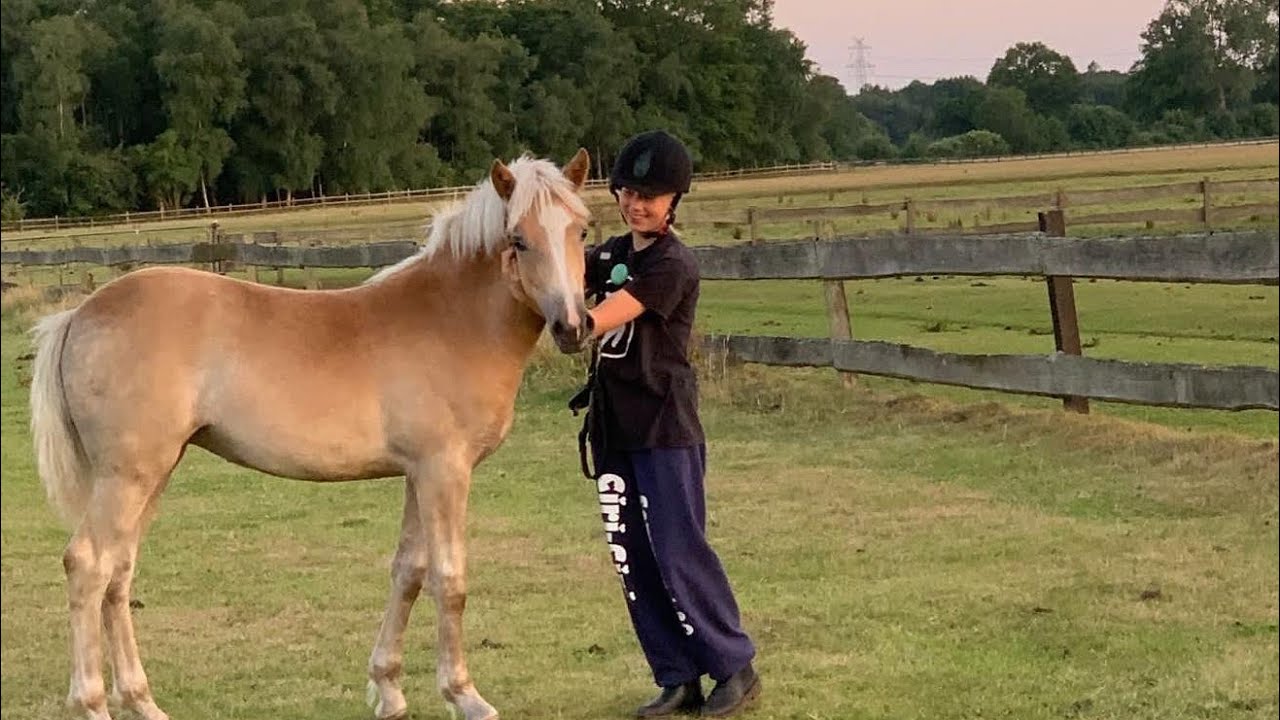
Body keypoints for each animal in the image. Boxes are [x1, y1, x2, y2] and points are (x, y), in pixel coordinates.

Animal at [29, 149, 594, 720]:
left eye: (582, 230)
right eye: (518, 239)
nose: (573, 327)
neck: (450, 320)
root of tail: (78, 314)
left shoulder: (418, 474)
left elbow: (409, 572)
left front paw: (389, 688)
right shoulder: (445, 471)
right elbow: (448, 580)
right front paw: (465, 695)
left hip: (152, 475)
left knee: (118, 572)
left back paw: (142, 701)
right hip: (127, 477)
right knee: (88, 565)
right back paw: (92, 701)